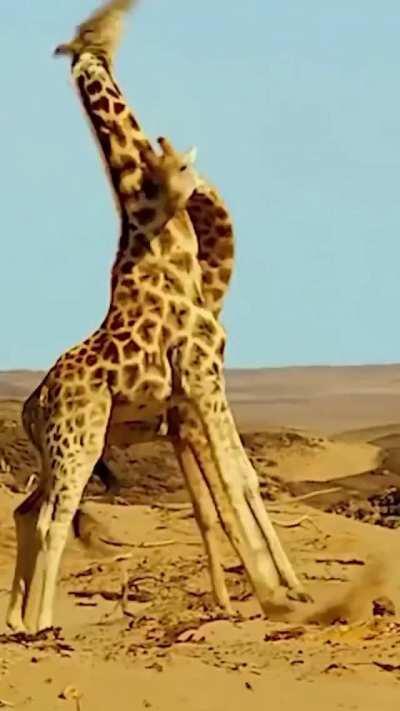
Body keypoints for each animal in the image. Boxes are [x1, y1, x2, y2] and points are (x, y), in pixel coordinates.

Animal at [7, 0, 308, 633]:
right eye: (93, 31)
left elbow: (231, 485)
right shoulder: (199, 376)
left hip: (63, 446)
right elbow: (232, 485)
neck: (162, 247)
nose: (119, 11)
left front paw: (284, 590)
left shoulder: (195, 390)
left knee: (27, 512)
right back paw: (41, 623)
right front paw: (274, 595)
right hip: (81, 439)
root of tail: (32, 406)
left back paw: (21, 622)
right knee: (51, 518)